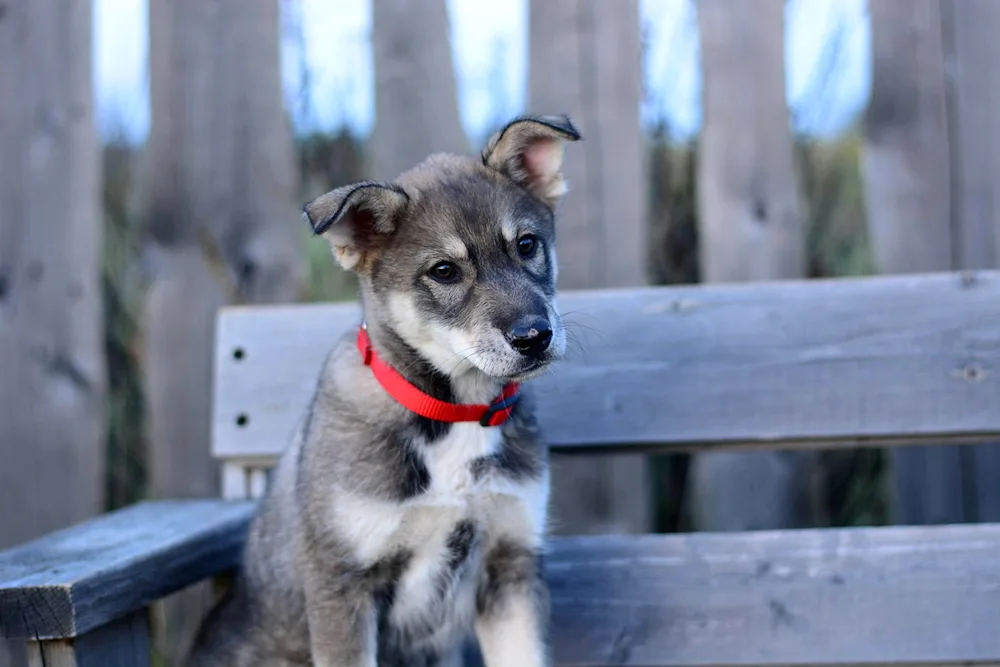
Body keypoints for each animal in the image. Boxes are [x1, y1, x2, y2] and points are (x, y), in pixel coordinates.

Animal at [185, 116, 584, 667]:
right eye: (444, 271)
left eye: (526, 245)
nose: (534, 337)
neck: (455, 414)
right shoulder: (342, 585)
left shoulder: (511, 566)